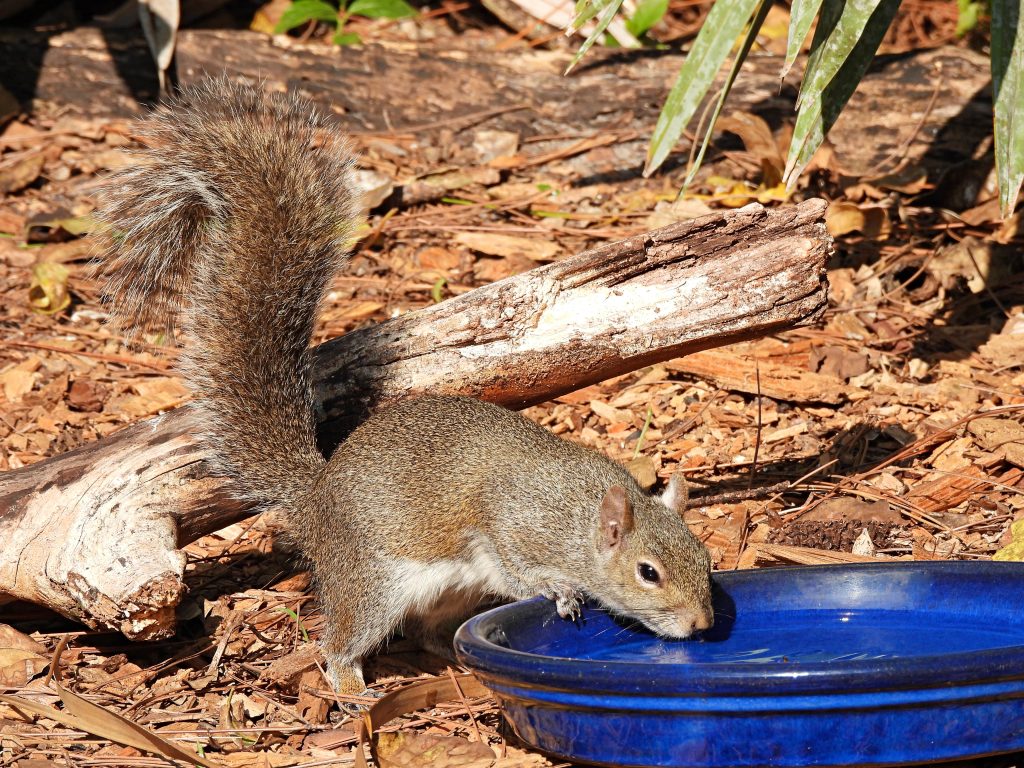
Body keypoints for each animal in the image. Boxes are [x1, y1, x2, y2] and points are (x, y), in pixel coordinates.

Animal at [99, 78, 716, 696]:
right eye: (648, 572)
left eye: (706, 558)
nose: (702, 625)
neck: (578, 517)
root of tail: (315, 500)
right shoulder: (507, 525)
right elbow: (517, 567)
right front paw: (560, 590)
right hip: (375, 584)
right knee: (340, 643)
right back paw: (353, 691)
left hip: (447, 594)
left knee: (427, 633)